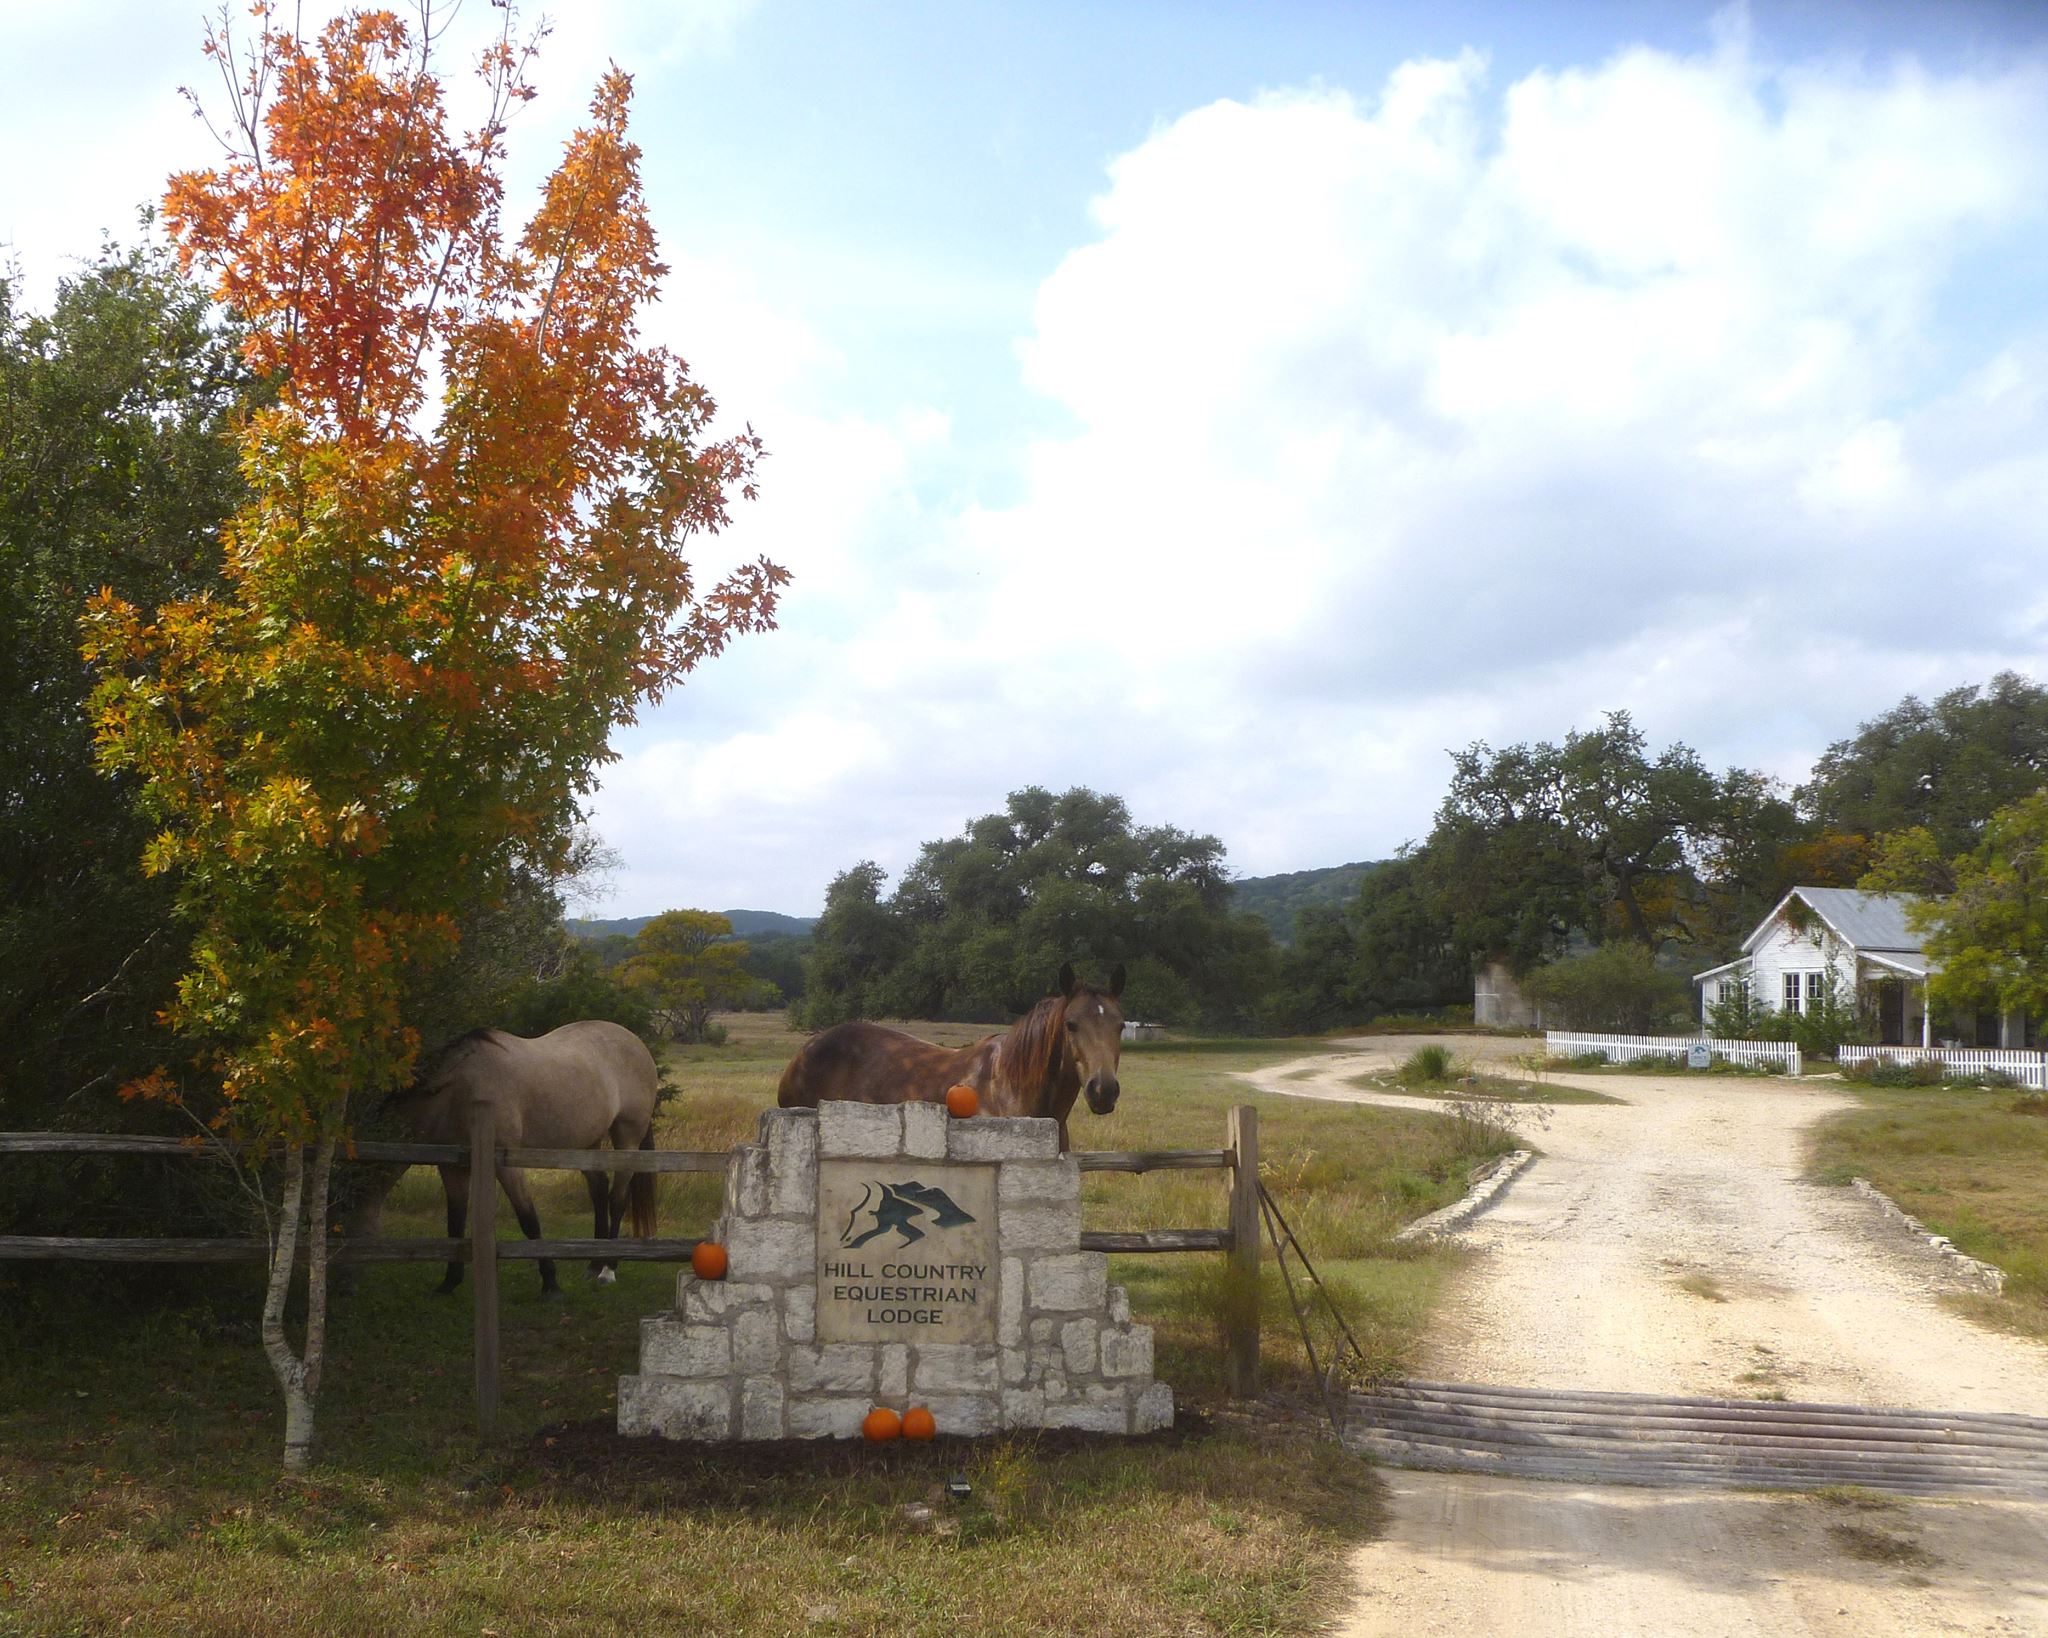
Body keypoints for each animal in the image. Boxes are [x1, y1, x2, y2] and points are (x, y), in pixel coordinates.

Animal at [372, 1023, 651, 1294]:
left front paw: (550, 1285)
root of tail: (637, 1043)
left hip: (627, 1139)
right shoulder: (451, 1167)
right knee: (599, 1190)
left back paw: (608, 1269)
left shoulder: (506, 1165)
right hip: (586, 1144)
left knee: (617, 1199)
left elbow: (528, 1220)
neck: (460, 1087)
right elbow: (455, 1222)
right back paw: (594, 1263)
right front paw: (449, 1282)